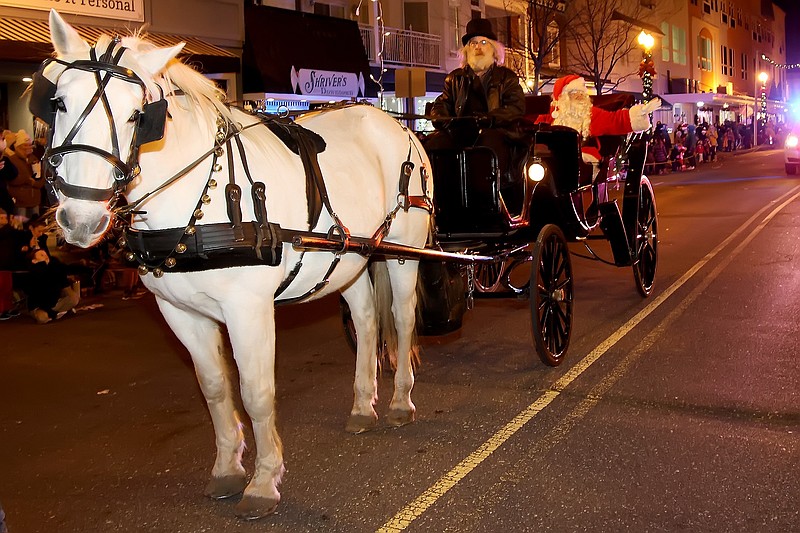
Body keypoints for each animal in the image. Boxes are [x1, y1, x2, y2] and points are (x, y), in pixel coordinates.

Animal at [37, 9, 432, 520]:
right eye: (58, 103)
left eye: (137, 115)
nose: (80, 218)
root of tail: (397, 123)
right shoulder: (179, 313)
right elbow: (214, 388)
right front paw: (227, 468)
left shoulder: (249, 309)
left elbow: (255, 392)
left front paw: (264, 481)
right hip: (349, 255)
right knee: (365, 321)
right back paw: (364, 405)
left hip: (404, 250)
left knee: (401, 321)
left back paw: (401, 401)